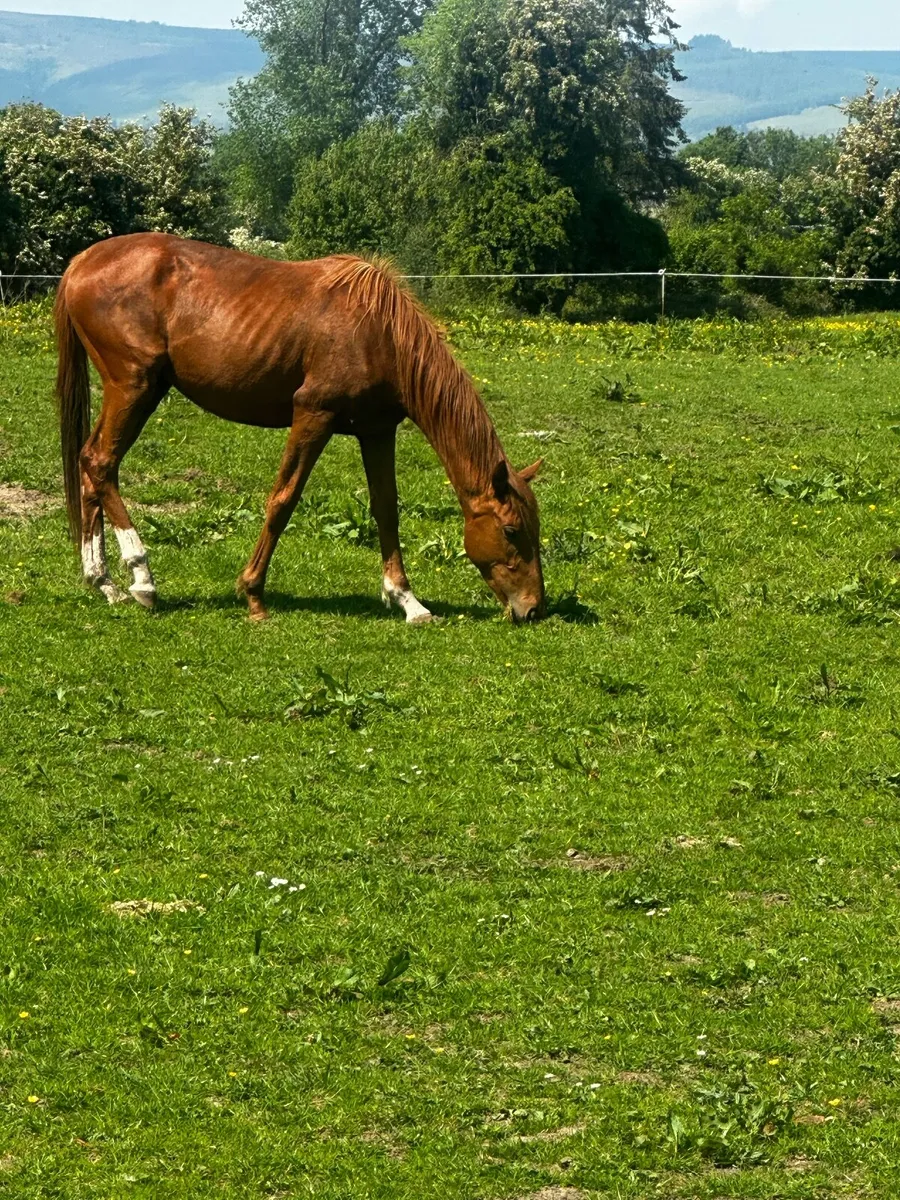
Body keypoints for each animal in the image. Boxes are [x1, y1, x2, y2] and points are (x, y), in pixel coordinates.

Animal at [54, 233, 546, 624]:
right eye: (510, 531)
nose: (533, 608)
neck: (378, 331)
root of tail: (82, 261)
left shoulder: (377, 431)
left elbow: (387, 509)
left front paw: (408, 601)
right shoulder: (313, 415)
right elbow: (282, 501)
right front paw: (253, 594)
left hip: (137, 391)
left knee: (89, 465)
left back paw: (104, 582)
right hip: (134, 387)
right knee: (101, 463)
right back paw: (141, 578)